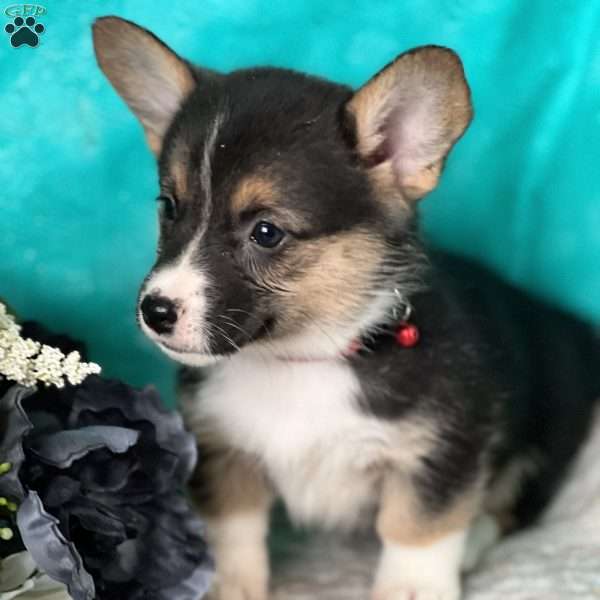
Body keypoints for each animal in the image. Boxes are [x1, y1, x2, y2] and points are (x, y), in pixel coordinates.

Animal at [94, 16, 600, 596]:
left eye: (266, 232)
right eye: (169, 208)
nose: (155, 311)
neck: (303, 358)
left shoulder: (442, 449)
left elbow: (417, 527)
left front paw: (412, 587)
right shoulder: (223, 450)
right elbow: (233, 527)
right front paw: (229, 585)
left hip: (549, 430)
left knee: (513, 506)